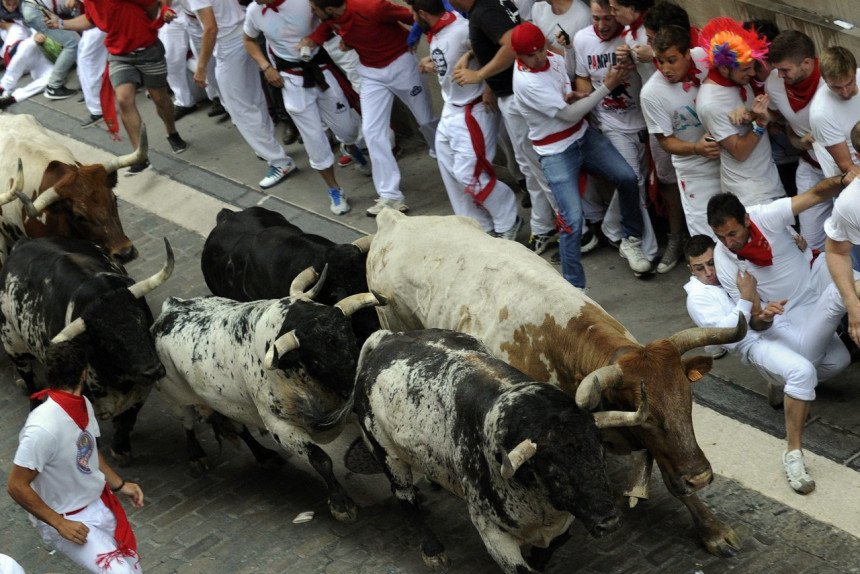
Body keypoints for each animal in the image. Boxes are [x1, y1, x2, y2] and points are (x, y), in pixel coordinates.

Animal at [0, 236, 173, 466]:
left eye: (141, 318)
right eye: (106, 339)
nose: (153, 370)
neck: (118, 380)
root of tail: (23, 242)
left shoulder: (141, 391)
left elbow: (127, 420)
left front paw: (121, 448)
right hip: (12, 343)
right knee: (28, 378)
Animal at [150, 270, 382, 520]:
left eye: (352, 336)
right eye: (318, 359)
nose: (359, 379)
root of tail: (170, 307)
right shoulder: (281, 428)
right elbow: (321, 459)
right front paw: (341, 504)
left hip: (230, 406)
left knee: (239, 428)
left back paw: (264, 456)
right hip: (175, 396)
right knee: (188, 423)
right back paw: (196, 456)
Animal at [366, 210, 748, 560]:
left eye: (688, 400)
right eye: (648, 416)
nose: (701, 477)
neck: (559, 340)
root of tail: (393, 218)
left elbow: (673, 476)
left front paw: (713, 529)